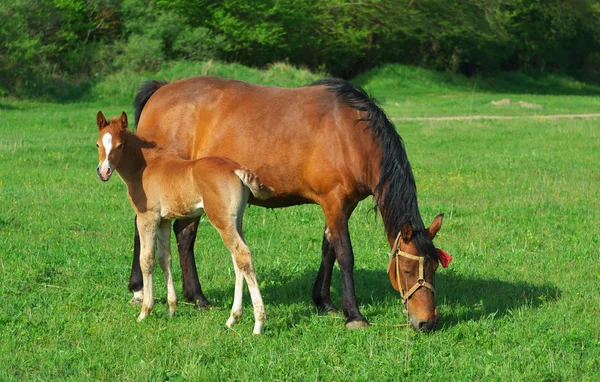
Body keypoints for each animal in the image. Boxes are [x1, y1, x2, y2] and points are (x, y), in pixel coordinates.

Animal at [132, 77, 446, 332]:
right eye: (408, 270)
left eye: (434, 268)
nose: (427, 322)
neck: (350, 134)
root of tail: (161, 90)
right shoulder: (334, 202)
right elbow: (345, 255)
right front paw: (354, 315)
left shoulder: (340, 206)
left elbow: (328, 250)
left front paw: (323, 302)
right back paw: (139, 290)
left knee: (184, 236)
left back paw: (196, 297)